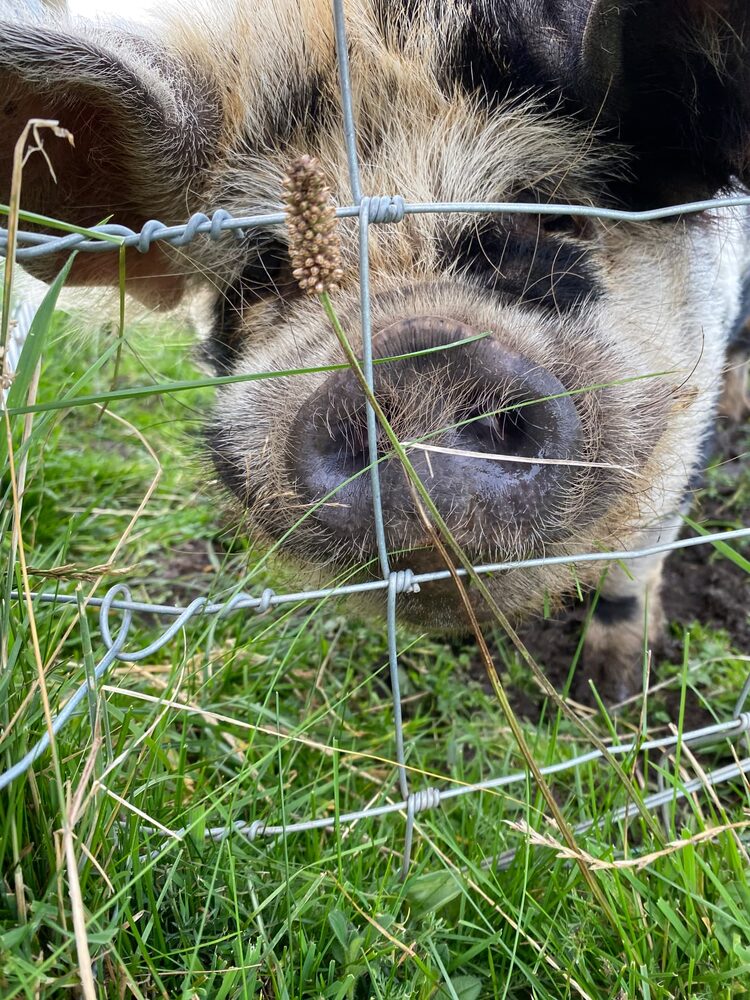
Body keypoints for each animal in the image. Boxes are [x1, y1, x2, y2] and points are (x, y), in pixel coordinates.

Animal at [1, 0, 749, 703]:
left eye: (552, 214)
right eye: (269, 268)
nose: (415, 353)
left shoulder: (685, 435)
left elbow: (634, 567)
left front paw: (612, 692)